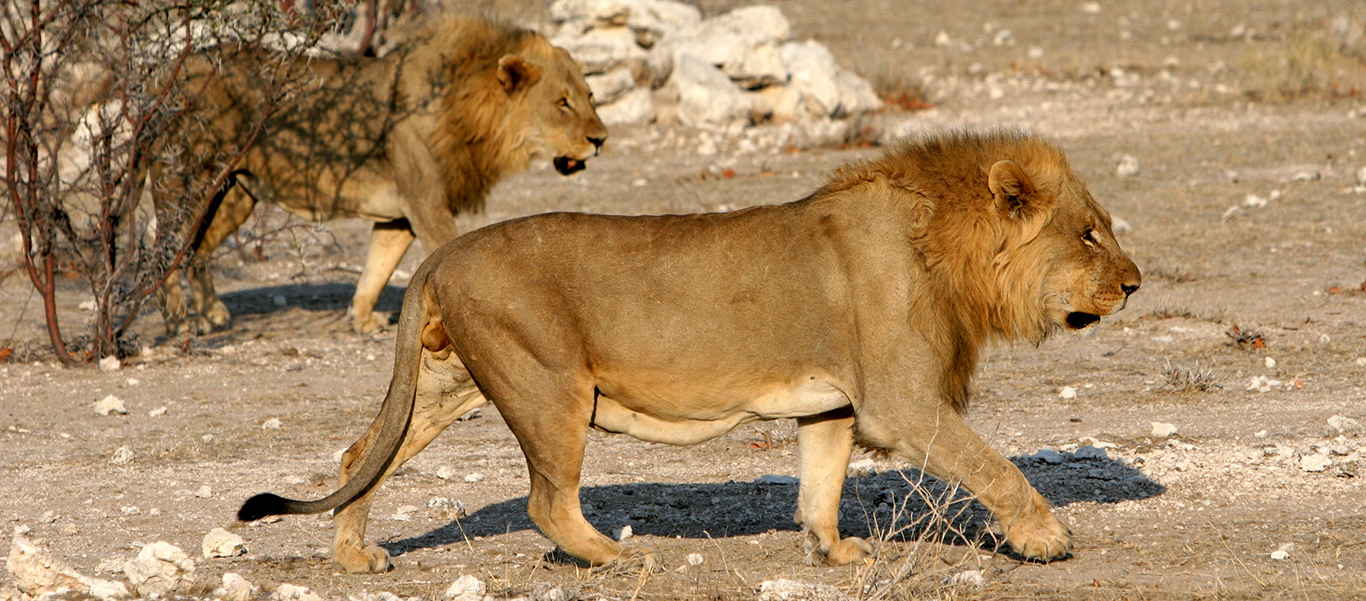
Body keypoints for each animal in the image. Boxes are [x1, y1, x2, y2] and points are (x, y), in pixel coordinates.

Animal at [152, 14, 606, 336]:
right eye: (562, 103)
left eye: (590, 96)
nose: (601, 139)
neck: (471, 116)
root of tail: (171, 68)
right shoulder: (426, 203)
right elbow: (444, 253)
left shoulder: (398, 216)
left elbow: (376, 269)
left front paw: (362, 320)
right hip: (188, 184)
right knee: (165, 250)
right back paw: (181, 321)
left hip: (234, 194)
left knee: (197, 250)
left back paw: (212, 313)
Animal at [237, 129, 1141, 570]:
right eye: (1089, 233)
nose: (1134, 285)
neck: (943, 245)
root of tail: (442, 253)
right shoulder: (902, 400)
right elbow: (995, 465)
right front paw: (1047, 539)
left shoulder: (835, 402)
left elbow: (820, 485)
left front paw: (833, 552)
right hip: (549, 387)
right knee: (546, 500)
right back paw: (612, 556)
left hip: (445, 382)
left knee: (362, 452)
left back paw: (357, 558)